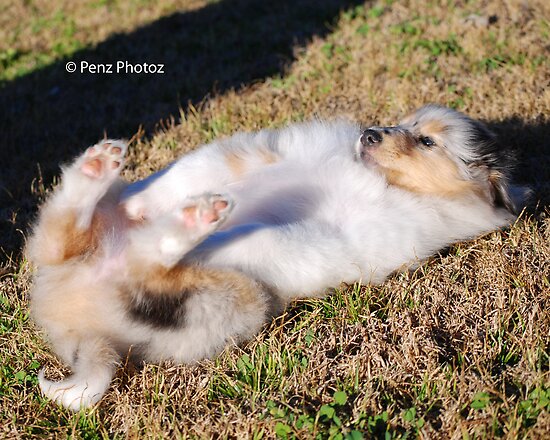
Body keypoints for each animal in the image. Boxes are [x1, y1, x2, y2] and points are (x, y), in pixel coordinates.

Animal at [28, 105, 524, 410]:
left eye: (427, 142)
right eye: (402, 124)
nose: (368, 135)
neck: (377, 180)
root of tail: (65, 319)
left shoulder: (346, 236)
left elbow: (261, 235)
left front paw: (212, 234)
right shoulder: (268, 153)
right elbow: (189, 171)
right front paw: (141, 206)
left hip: (236, 300)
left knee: (142, 269)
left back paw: (193, 223)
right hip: (79, 249)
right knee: (60, 235)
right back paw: (103, 174)